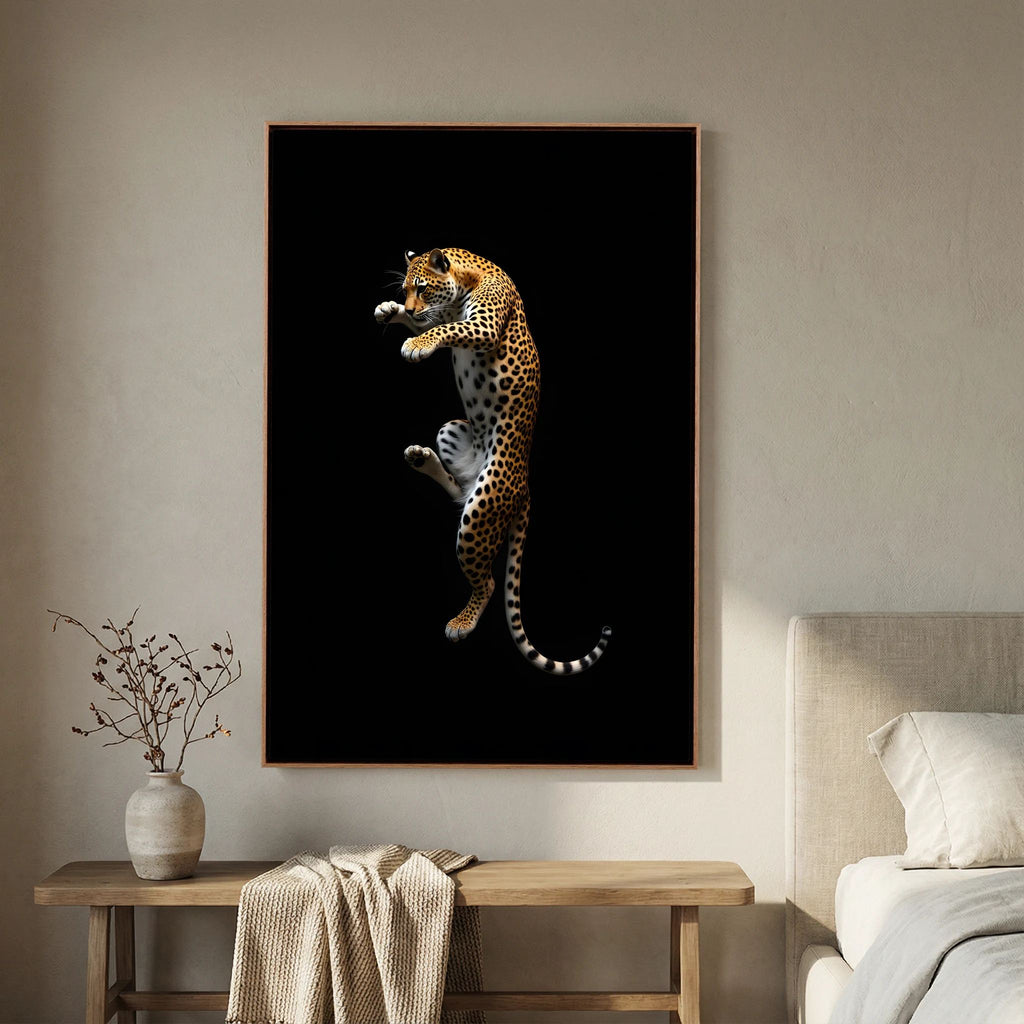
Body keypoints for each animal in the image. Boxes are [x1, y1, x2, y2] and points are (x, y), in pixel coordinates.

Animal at [374, 247, 611, 675]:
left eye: (422, 287)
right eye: (406, 289)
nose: (409, 305)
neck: (467, 276)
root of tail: (524, 487)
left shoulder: (481, 326)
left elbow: (445, 330)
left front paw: (416, 342)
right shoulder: (448, 314)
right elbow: (434, 321)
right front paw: (392, 310)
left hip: (482, 508)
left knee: (485, 581)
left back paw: (461, 624)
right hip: (451, 430)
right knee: (458, 489)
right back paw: (420, 457)